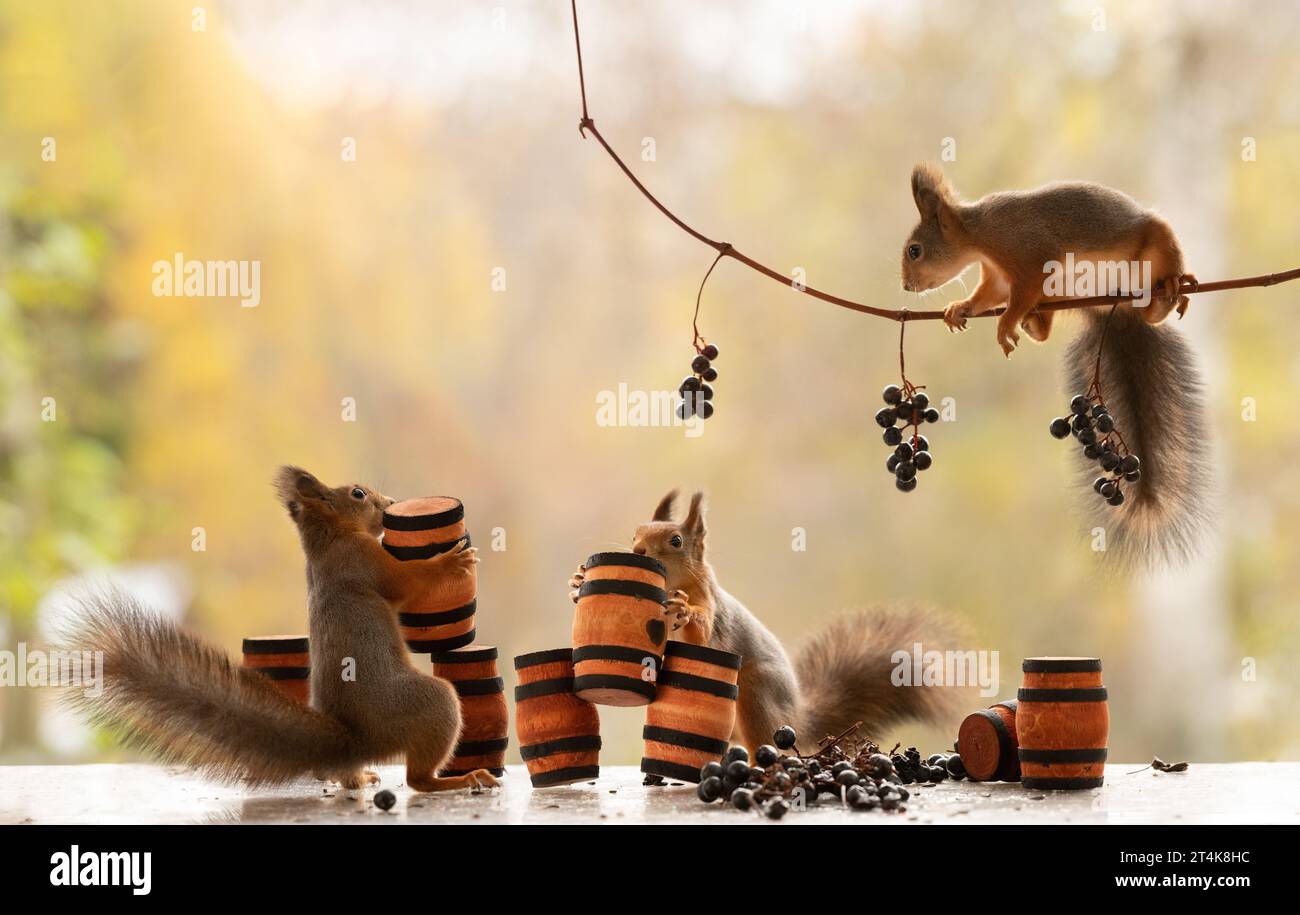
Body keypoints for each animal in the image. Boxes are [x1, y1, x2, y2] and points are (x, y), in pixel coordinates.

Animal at [58, 466, 497, 792]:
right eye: (357, 493)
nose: (390, 504)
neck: (329, 540)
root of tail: (357, 740)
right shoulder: (363, 561)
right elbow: (406, 583)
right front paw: (450, 562)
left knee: (347, 778)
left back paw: (361, 777)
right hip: (427, 704)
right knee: (417, 778)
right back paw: (458, 779)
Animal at [570, 490, 962, 753]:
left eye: (676, 540)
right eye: (635, 533)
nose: (637, 551)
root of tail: (797, 717)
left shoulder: (713, 611)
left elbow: (702, 635)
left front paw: (683, 610)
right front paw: (578, 581)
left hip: (758, 697)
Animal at [900, 164, 1212, 567]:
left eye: (915, 250)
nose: (906, 285)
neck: (979, 233)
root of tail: (1115, 307)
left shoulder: (1029, 254)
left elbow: (1019, 293)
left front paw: (1005, 323)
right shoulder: (997, 273)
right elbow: (989, 295)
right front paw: (960, 308)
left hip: (1154, 245)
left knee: (1155, 298)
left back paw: (1170, 289)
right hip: (1061, 291)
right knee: (1048, 322)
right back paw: (1036, 322)